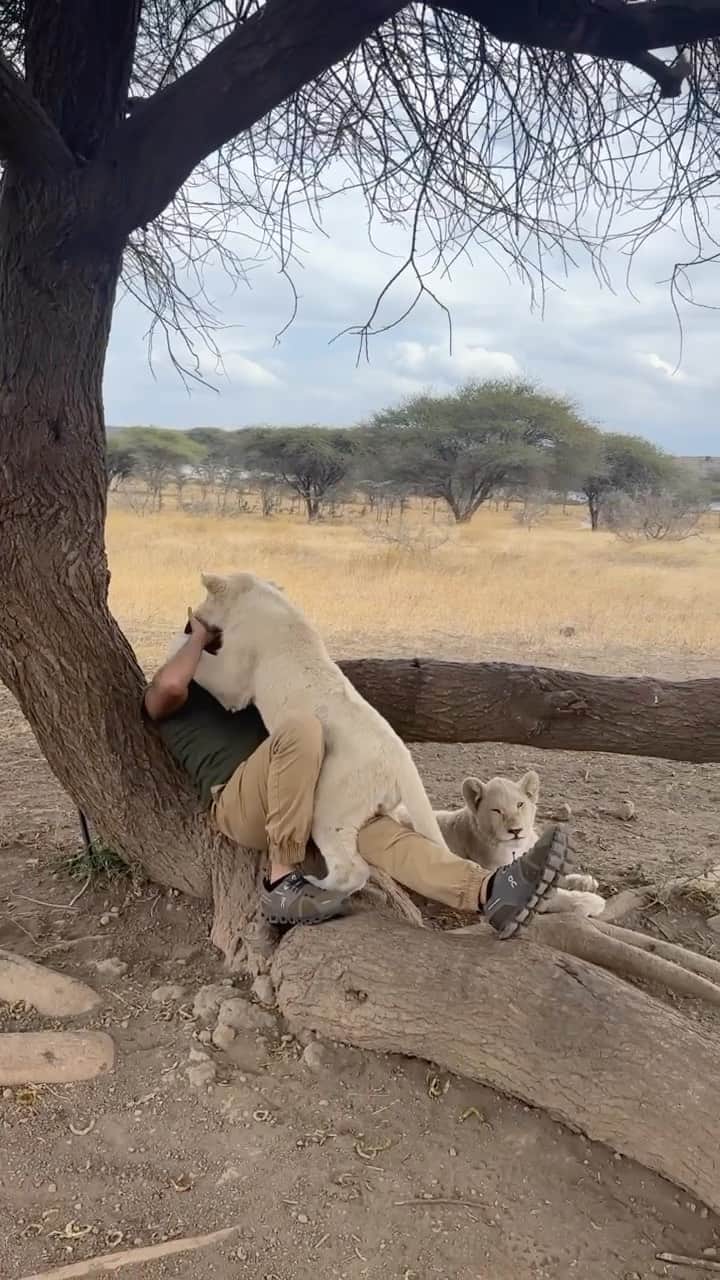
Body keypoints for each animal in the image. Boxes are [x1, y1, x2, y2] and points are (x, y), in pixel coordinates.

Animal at [189, 570, 451, 895]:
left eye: (206, 596)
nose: (196, 615)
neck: (259, 596)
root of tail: (401, 759)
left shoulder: (235, 672)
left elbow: (210, 670)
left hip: (331, 801)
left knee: (353, 867)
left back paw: (320, 884)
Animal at [433, 771, 605, 916]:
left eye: (520, 804)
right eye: (496, 810)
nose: (515, 830)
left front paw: (585, 882)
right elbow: (551, 895)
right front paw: (591, 901)